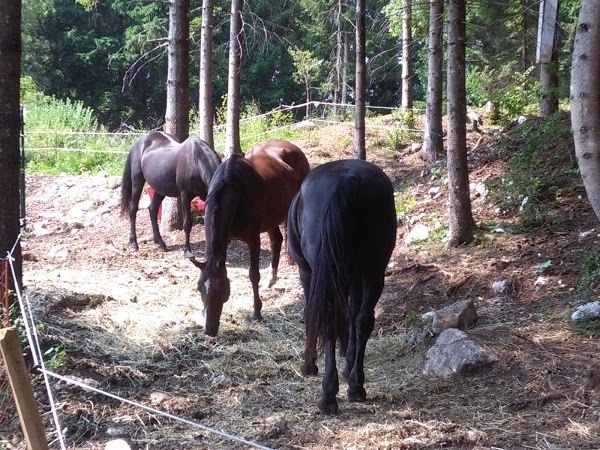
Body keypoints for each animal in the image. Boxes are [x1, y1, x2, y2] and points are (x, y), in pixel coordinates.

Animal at [190, 141, 312, 338]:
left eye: (222, 290)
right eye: (200, 288)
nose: (210, 330)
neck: (233, 189)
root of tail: (291, 146)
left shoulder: (253, 240)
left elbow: (253, 275)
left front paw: (257, 312)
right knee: (276, 240)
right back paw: (271, 279)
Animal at [288, 159, 398, 414]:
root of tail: (350, 179)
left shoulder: (307, 272)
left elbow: (310, 314)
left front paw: (309, 365)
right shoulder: (354, 277)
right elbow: (351, 316)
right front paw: (348, 363)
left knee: (330, 318)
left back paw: (328, 395)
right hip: (373, 270)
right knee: (363, 320)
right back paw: (356, 385)